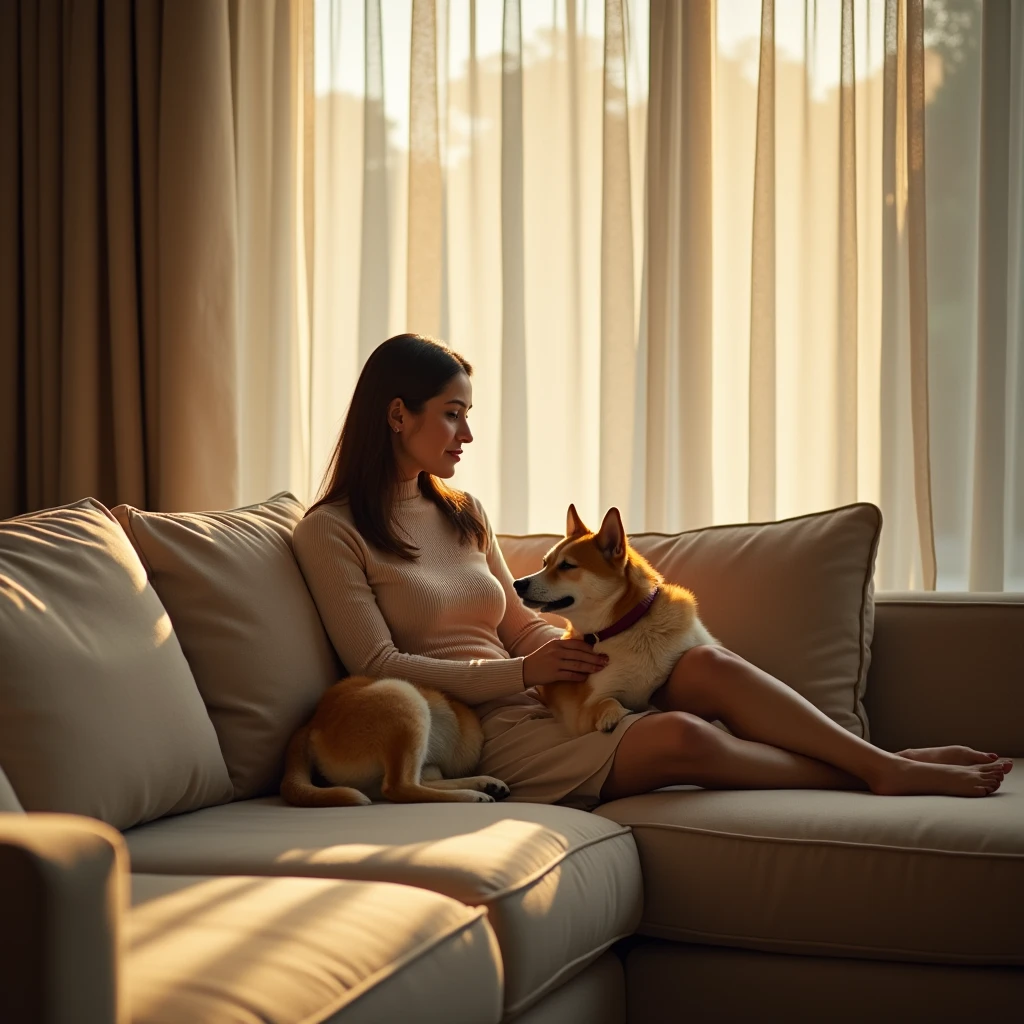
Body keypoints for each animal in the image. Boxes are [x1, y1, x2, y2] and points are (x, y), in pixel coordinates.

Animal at [282, 675, 512, 811]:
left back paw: (486, 784)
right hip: (403, 696)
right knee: (400, 787)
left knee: (419, 782)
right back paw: (473, 795)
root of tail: (313, 723)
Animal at [512, 505, 720, 737]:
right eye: (544, 563)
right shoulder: (586, 708)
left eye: (566, 565)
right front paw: (612, 715)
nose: (517, 583)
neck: (626, 627)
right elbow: (608, 701)